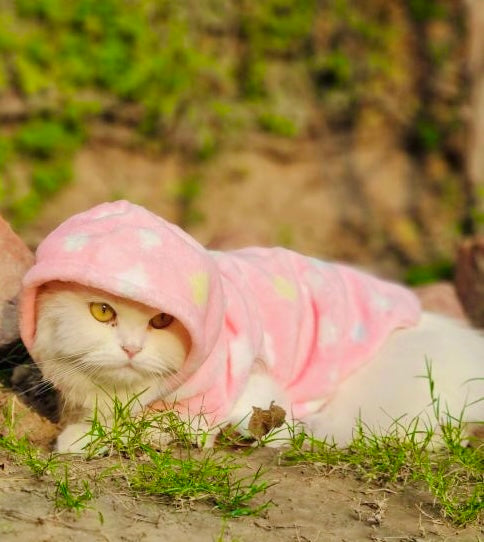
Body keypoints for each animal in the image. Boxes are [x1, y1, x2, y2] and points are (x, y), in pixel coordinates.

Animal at [32, 280, 482, 454]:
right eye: (102, 311)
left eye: (161, 320)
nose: (131, 348)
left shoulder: (251, 388)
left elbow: (152, 423)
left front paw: (80, 439)